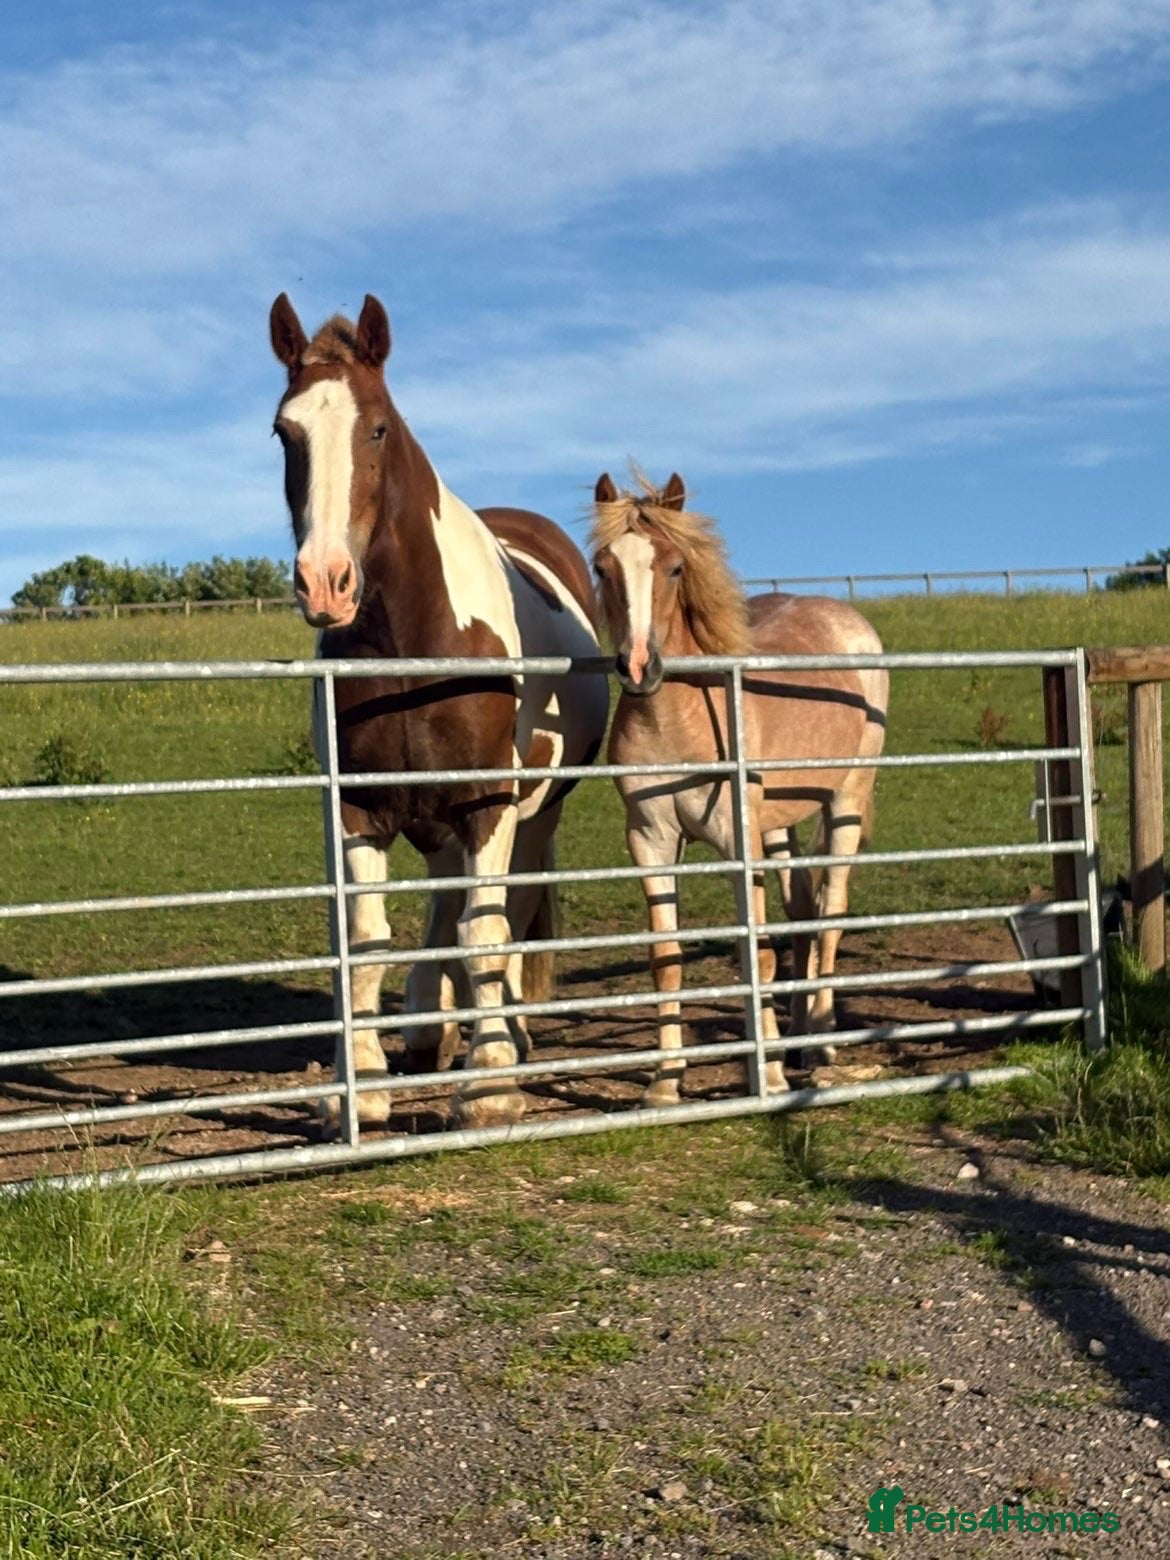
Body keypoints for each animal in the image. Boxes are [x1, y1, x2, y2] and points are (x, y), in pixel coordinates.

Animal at [269, 292, 609, 1130]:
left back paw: (507, 1034)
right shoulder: (358, 805)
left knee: (506, 906)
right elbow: (366, 937)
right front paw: (358, 1085)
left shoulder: (488, 802)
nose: (324, 583)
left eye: (378, 428)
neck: (411, 642)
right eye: (285, 432)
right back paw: (429, 1027)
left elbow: (484, 931)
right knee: (445, 896)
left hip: (533, 812)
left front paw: (488, 1084)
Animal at [589, 471, 889, 1105]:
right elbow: (667, 957)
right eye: (603, 567)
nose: (638, 666)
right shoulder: (650, 840)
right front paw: (665, 1082)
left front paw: (768, 1077)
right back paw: (797, 1040)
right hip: (781, 823)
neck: (682, 721)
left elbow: (758, 953)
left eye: (675, 567)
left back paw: (821, 1044)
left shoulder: (736, 843)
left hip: (845, 803)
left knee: (831, 910)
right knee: (801, 908)